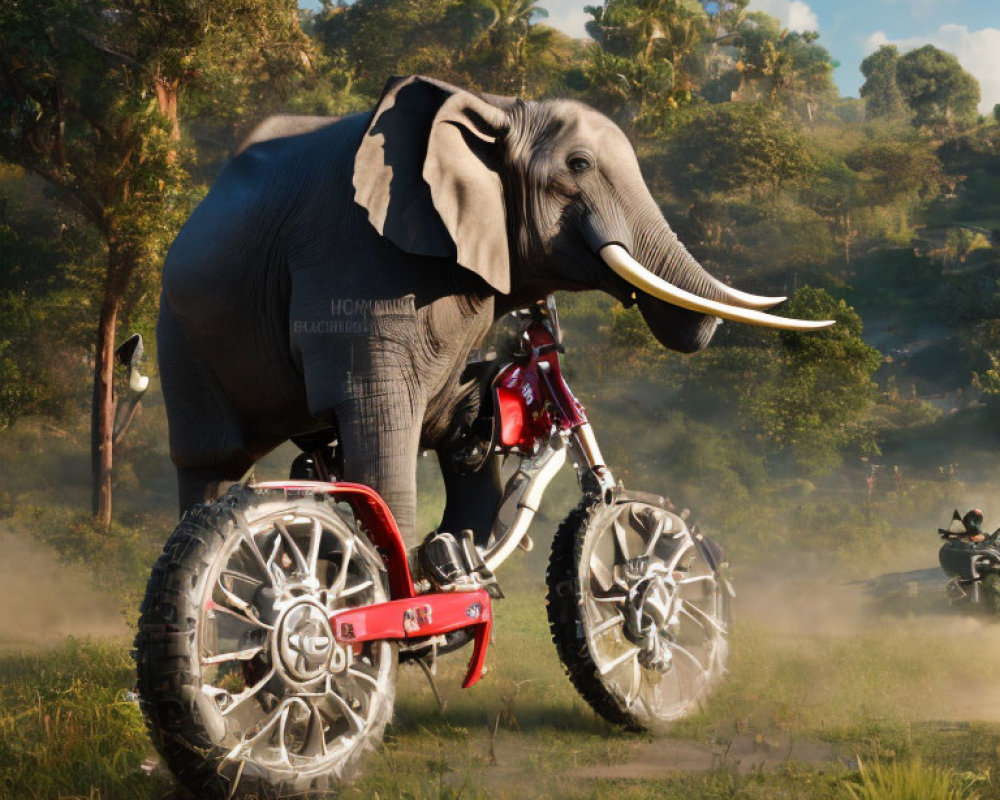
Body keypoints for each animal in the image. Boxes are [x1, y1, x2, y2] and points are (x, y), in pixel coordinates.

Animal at [158, 75, 828, 548]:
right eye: (578, 165)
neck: (492, 105)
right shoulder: (353, 262)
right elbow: (381, 437)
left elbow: (468, 442)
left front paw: (448, 566)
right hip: (181, 330)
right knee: (213, 463)